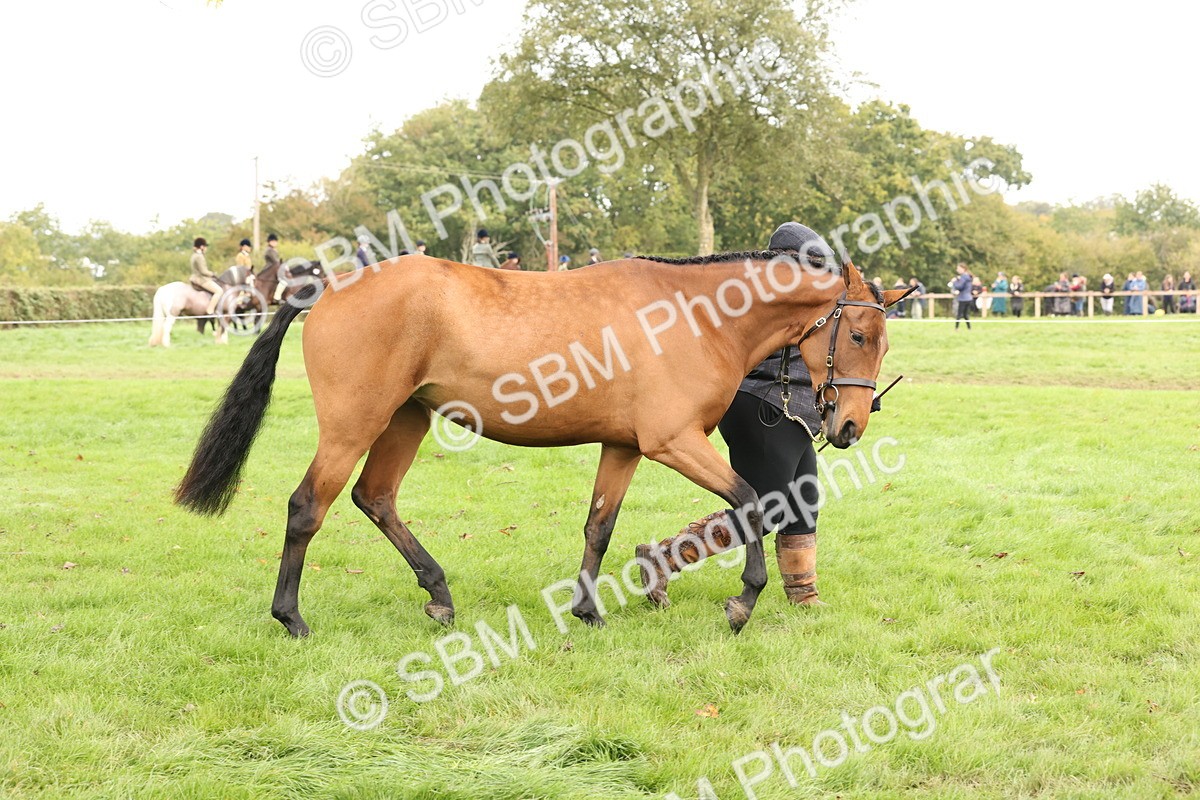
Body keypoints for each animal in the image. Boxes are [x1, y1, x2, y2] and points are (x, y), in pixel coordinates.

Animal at [174, 251, 906, 636]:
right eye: (859, 335)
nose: (849, 427)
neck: (697, 316)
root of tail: (327, 284)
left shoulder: (625, 447)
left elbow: (599, 526)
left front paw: (587, 609)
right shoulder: (672, 443)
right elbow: (751, 501)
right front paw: (742, 601)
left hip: (406, 419)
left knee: (375, 498)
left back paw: (438, 594)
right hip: (355, 422)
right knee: (309, 507)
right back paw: (291, 617)